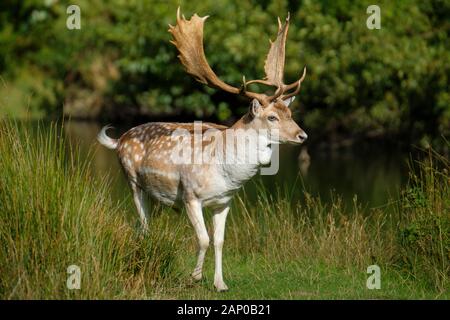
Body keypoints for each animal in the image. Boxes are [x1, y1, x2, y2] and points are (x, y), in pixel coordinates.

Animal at [97, 8, 310, 292]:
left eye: (290, 113)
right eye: (272, 117)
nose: (302, 135)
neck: (224, 171)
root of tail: (119, 139)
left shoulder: (225, 201)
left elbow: (219, 241)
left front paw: (220, 283)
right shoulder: (190, 195)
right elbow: (204, 239)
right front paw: (195, 277)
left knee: (146, 224)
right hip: (132, 181)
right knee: (143, 224)